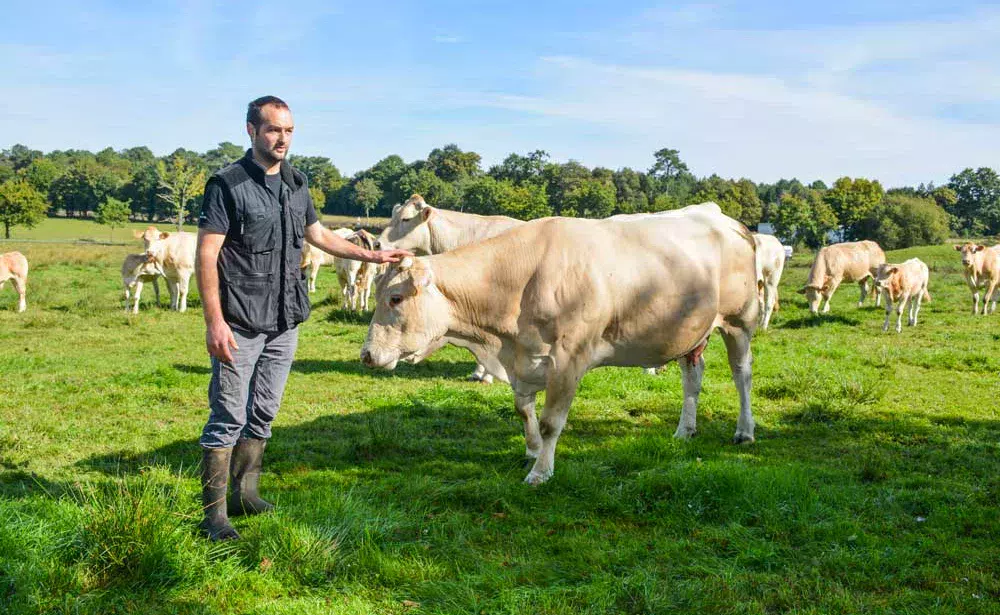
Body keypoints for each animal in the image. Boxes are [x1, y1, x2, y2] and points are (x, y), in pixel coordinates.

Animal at [360, 202, 756, 486]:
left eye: (395, 298)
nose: (366, 354)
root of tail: (722, 217)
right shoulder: (523, 360)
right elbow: (524, 411)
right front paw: (533, 450)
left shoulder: (569, 360)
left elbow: (552, 421)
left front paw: (540, 472)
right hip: (692, 332)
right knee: (693, 376)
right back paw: (684, 430)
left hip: (739, 322)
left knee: (742, 375)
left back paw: (744, 431)